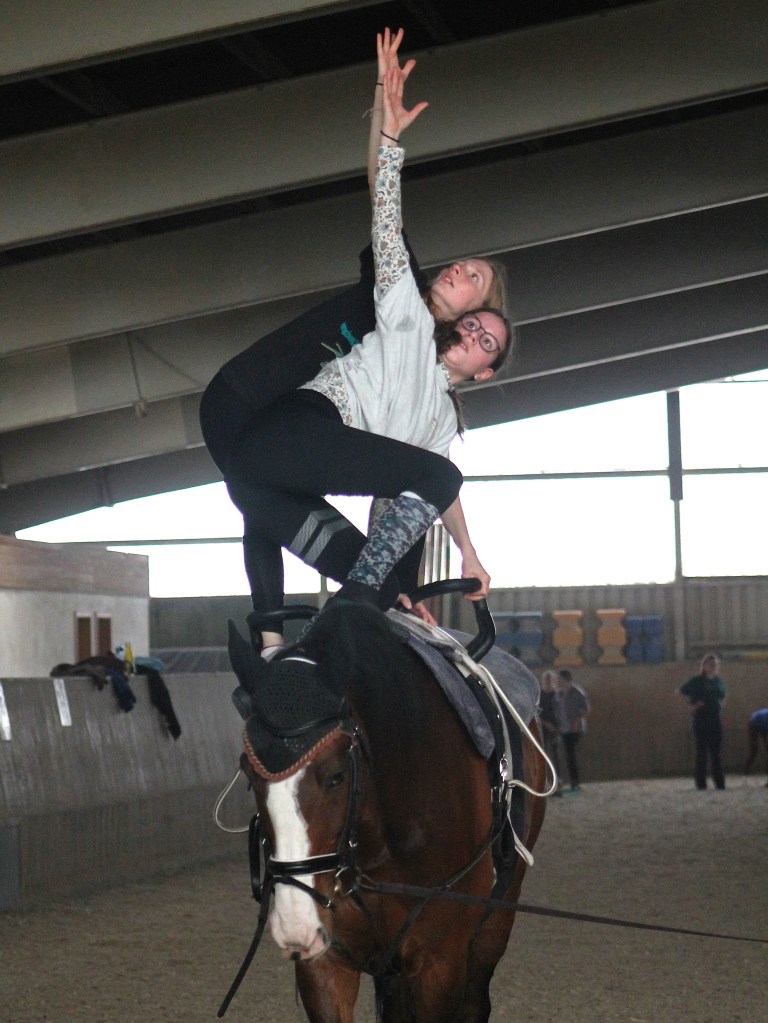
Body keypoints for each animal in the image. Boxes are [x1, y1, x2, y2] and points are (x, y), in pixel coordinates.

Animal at [225, 594, 548, 1023]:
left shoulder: (438, 963)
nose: (294, 925)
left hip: (497, 916)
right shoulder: (327, 963)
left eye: (336, 776)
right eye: (249, 772)